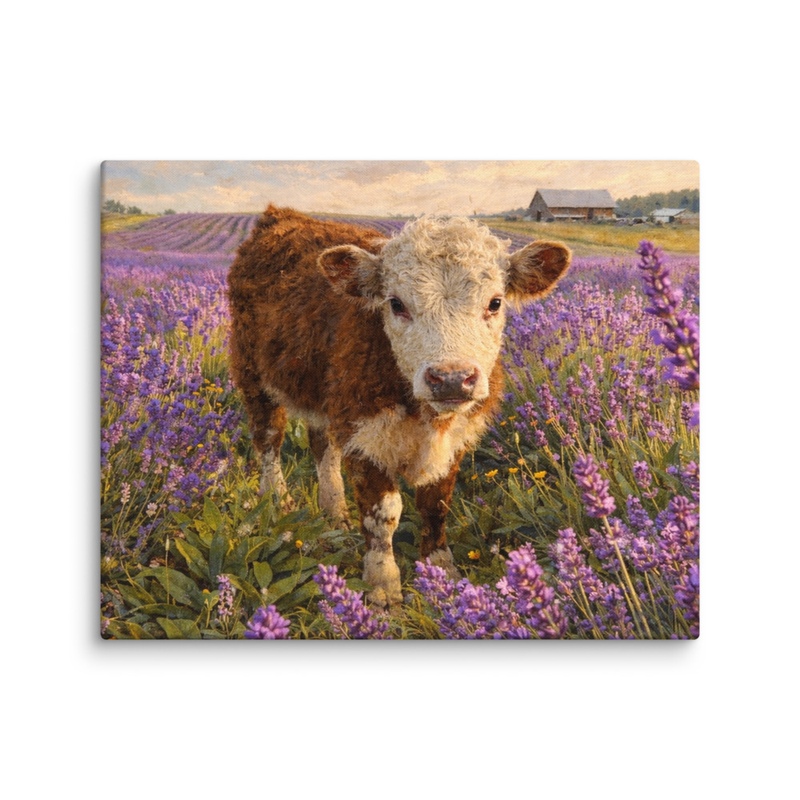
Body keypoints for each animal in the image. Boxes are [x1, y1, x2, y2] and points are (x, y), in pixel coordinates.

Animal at [227, 205, 570, 607]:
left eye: (495, 302)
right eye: (396, 303)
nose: (451, 378)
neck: (428, 419)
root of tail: (280, 214)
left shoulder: (454, 439)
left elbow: (436, 504)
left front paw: (441, 573)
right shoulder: (365, 435)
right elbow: (383, 515)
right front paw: (382, 586)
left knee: (322, 446)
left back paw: (334, 510)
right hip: (253, 375)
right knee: (269, 440)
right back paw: (277, 502)